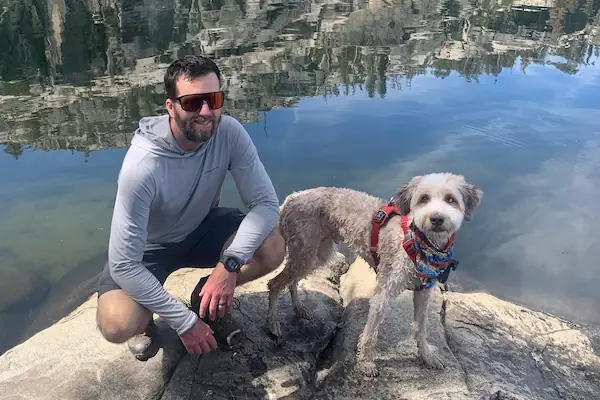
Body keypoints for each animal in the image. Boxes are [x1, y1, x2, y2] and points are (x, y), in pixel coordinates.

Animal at [266, 173, 482, 378]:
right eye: (424, 198)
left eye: (450, 199)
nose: (437, 219)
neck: (420, 242)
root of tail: (290, 198)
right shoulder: (384, 291)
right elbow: (370, 334)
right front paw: (366, 364)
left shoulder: (423, 291)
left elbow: (420, 328)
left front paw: (427, 355)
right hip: (305, 251)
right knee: (274, 284)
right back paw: (274, 324)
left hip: (317, 254)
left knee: (291, 281)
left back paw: (299, 308)